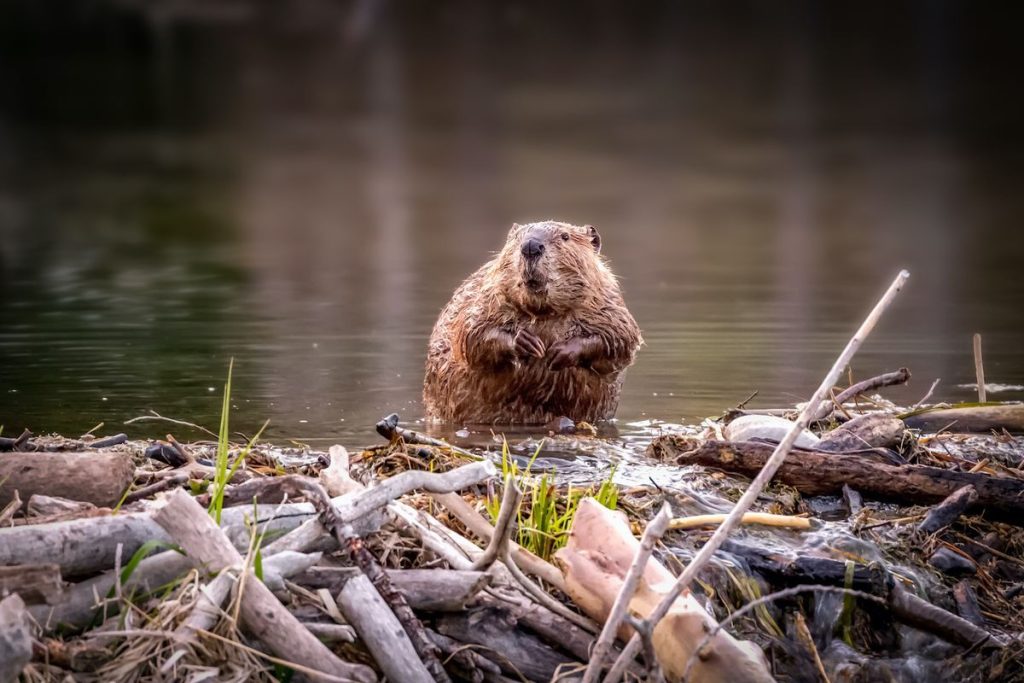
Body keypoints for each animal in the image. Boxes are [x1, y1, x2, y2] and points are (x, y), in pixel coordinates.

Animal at [421, 222, 638, 423]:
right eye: (517, 237)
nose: (531, 246)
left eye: (565, 236)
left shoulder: (608, 303)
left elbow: (621, 339)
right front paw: (527, 343)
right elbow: (471, 333)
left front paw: (559, 352)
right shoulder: (484, 296)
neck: (544, 312)